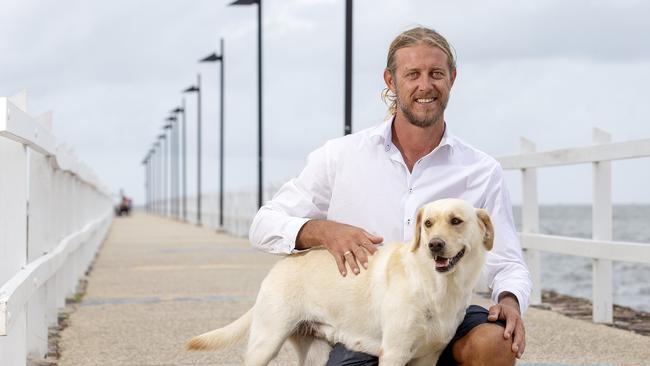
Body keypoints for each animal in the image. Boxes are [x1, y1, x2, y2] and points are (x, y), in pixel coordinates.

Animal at [186, 199, 492, 364]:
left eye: (456, 221)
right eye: (428, 223)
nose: (434, 245)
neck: (437, 286)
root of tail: (280, 264)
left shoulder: (427, 357)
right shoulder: (394, 353)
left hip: (314, 353)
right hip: (266, 342)